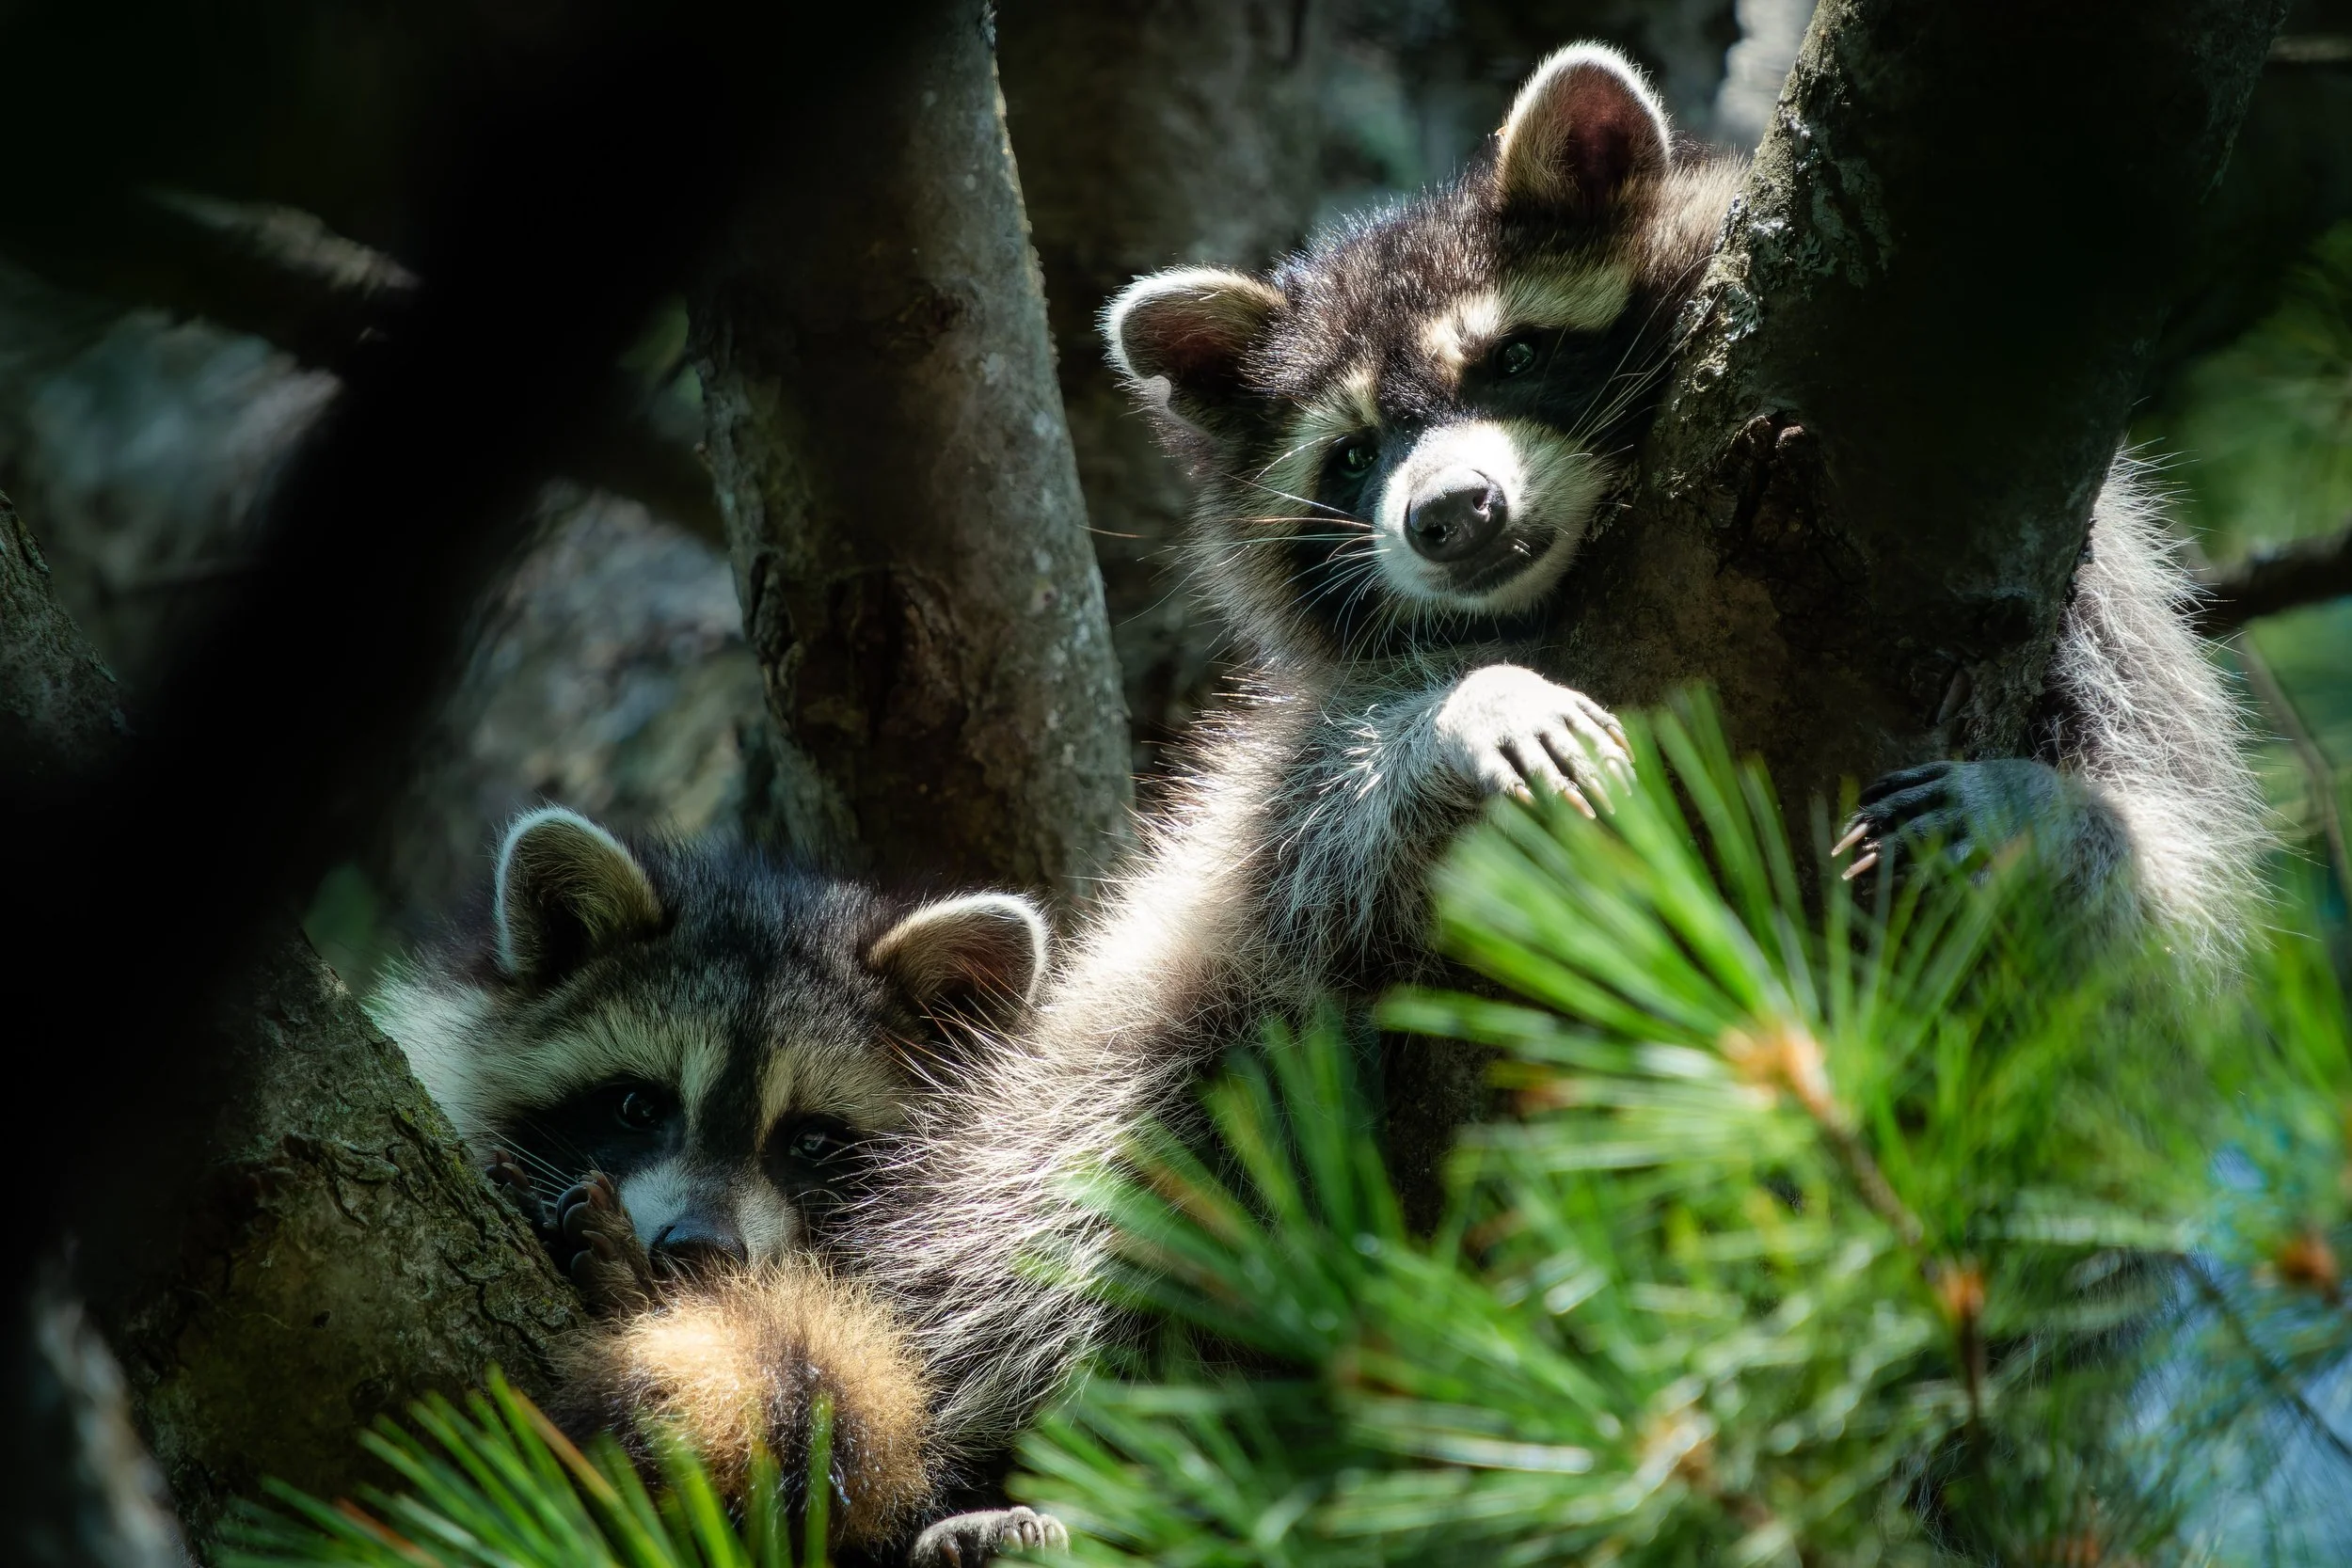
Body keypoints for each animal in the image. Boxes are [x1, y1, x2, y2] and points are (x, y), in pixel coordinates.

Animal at [868, 43, 2271, 1464]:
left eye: (1517, 356)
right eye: (1355, 452)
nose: (1448, 513)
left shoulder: (2098, 602)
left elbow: (2170, 877)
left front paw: (2053, 830)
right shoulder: (1294, 756)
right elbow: (1318, 828)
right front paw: (1465, 714)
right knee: (1100, 1170)